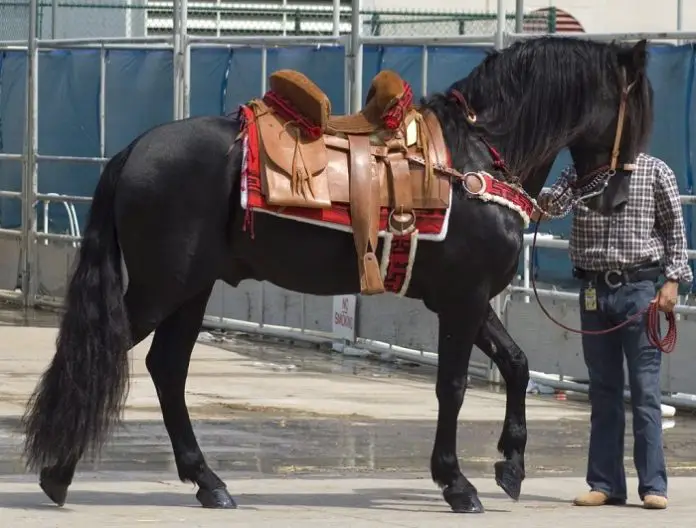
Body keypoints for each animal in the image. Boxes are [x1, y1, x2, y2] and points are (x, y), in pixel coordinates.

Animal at [21, 36, 653, 514]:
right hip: (163, 288)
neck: (477, 160)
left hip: (191, 290)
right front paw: (456, 483)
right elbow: (452, 387)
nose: (620, 200)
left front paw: (512, 465)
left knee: (166, 369)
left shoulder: (464, 302)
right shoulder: (463, 299)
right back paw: (59, 472)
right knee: (107, 355)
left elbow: (518, 365)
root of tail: (134, 149)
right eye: (640, 113)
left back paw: (208, 483)